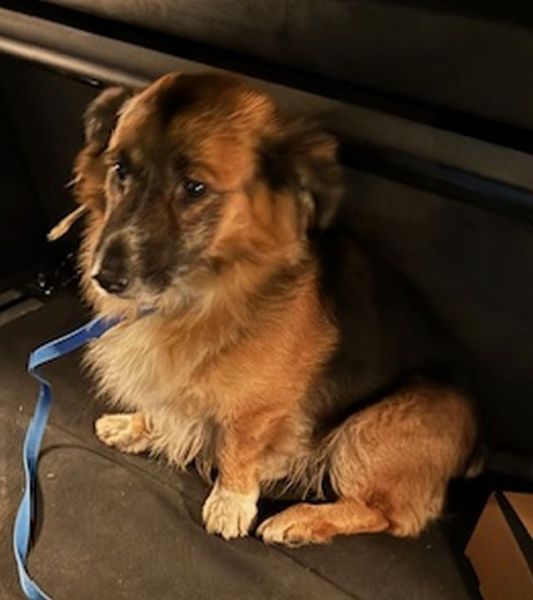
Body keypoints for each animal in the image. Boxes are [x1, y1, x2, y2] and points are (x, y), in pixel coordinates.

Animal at [69, 72, 479, 545]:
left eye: (195, 187)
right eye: (120, 169)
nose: (106, 276)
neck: (202, 289)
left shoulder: (259, 407)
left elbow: (238, 446)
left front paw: (230, 502)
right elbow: (163, 406)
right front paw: (136, 427)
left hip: (371, 431)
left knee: (387, 515)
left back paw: (299, 520)